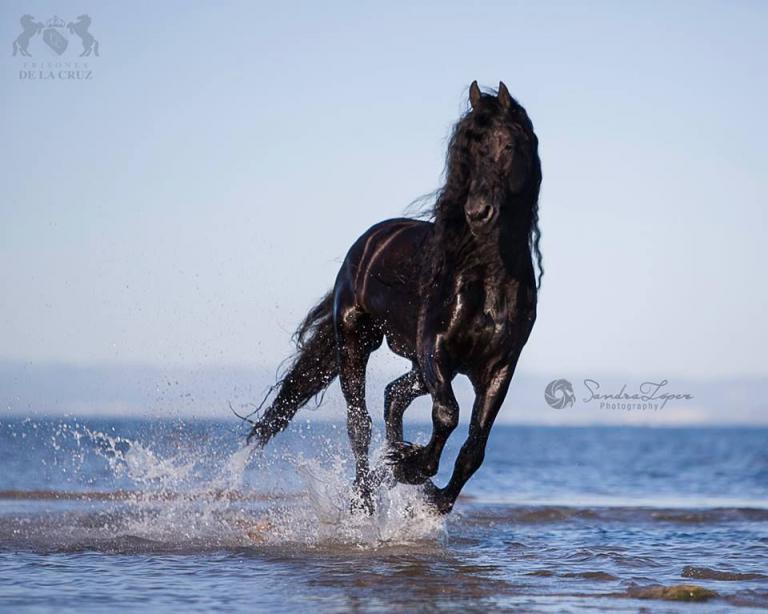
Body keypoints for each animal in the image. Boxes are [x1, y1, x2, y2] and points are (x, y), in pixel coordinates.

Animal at [246, 81, 542, 515]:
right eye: (466, 154)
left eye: (506, 145)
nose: (477, 212)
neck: (488, 279)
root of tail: (366, 243)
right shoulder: (435, 347)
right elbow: (447, 414)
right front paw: (413, 466)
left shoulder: (500, 366)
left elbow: (475, 447)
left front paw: (430, 491)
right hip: (358, 341)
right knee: (360, 421)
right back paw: (365, 499)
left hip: (422, 366)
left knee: (392, 397)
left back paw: (387, 467)